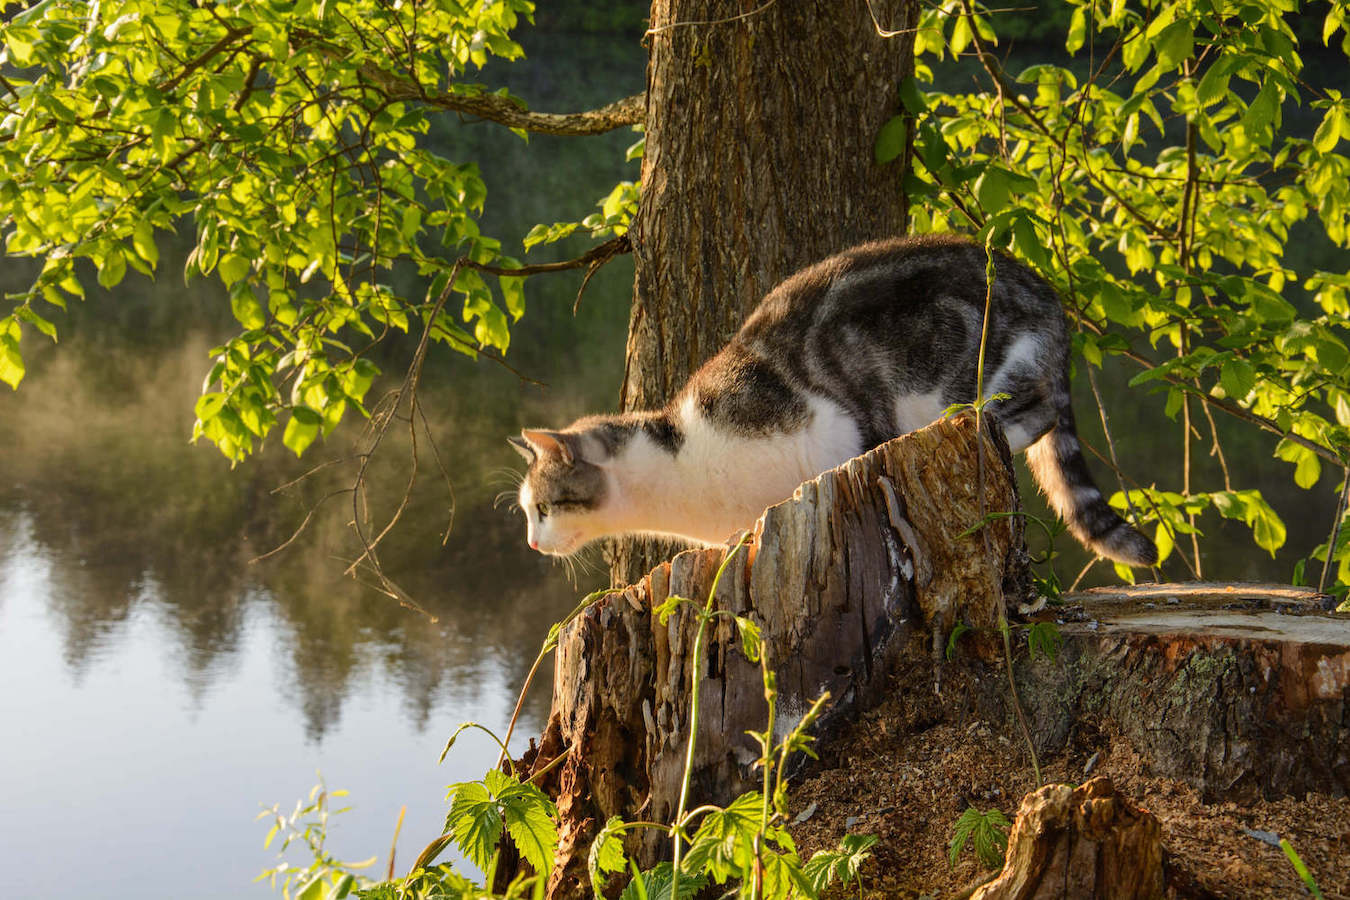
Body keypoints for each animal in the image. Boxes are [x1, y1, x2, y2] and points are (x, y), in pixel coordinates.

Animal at [510, 236, 1155, 566]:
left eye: (542, 508)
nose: (531, 542)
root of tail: (1048, 293)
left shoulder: (827, 425)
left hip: (961, 369)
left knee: (1036, 407)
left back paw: (975, 422)